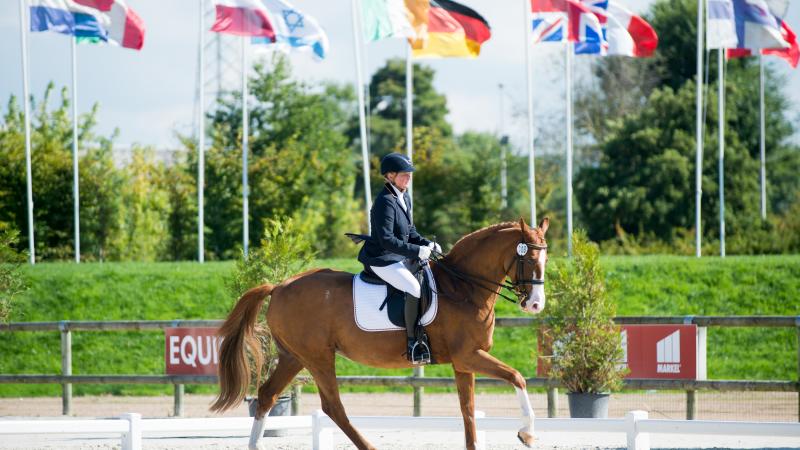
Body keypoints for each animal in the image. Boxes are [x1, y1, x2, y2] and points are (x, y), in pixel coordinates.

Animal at [212, 217, 552, 446]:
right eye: (527, 257)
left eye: (546, 258)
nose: (535, 304)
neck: (463, 287)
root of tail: (279, 286)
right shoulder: (469, 355)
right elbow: (517, 378)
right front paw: (527, 433)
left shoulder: (463, 362)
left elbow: (468, 412)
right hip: (318, 357)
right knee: (333, 407)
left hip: (293, 357)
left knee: (267, 396)